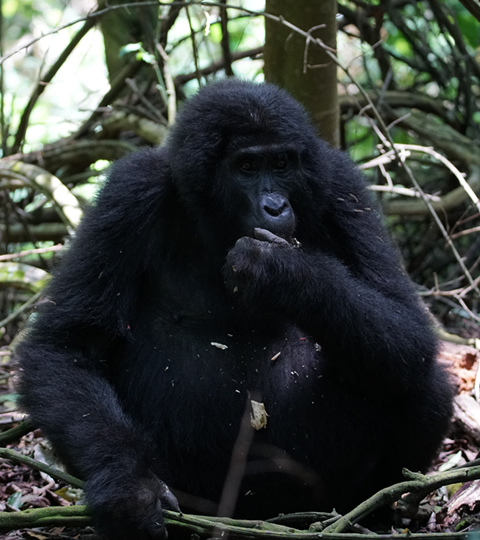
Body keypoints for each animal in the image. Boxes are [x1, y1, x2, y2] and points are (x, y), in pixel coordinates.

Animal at [15, 80, 454, 540]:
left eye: (281, 163)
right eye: (246, 166)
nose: (276, 206)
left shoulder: (339, 184)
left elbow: (408, 330)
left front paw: (281, 273)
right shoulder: (130, 190)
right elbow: (68, 346)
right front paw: (129, 489)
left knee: (417, 382)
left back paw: (371, 513)